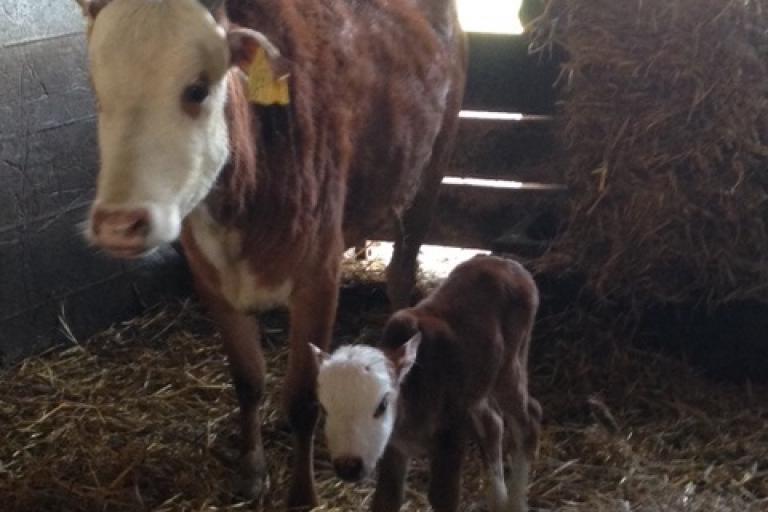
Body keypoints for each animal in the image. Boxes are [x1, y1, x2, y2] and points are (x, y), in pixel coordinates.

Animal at [73, 0, 468, 508]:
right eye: (99, 94)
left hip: (434, 166)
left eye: (197, 89)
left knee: (401, 273)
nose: (119, 225)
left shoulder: (319, 278)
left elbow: (303, 400)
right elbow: (248, 379)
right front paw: (251, 468)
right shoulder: (211, 281)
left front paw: (302, 493)